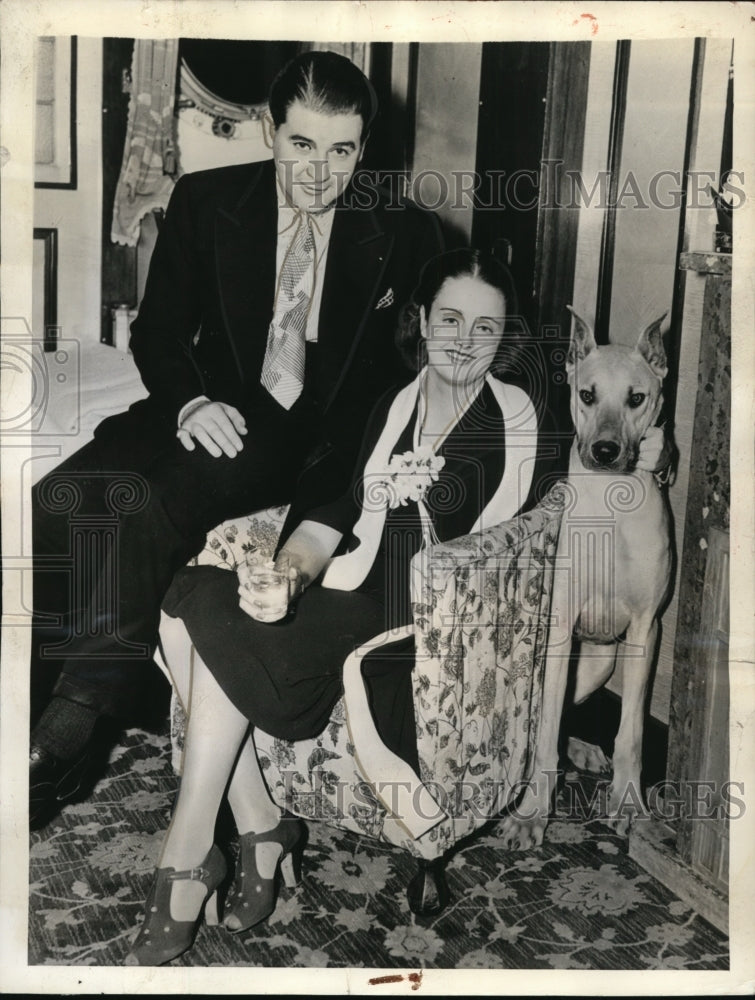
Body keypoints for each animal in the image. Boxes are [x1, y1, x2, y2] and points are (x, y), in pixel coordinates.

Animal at [502, 308, 672, 848]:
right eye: (587, 394)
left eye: (636, 398)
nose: (604, 451)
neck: (612, 501)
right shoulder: (558, 629)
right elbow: (543, 733)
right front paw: (532, 815)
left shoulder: (645, 631)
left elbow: (632, 731)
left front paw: (628, 803)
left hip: (601, 662)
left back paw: (583, 750)